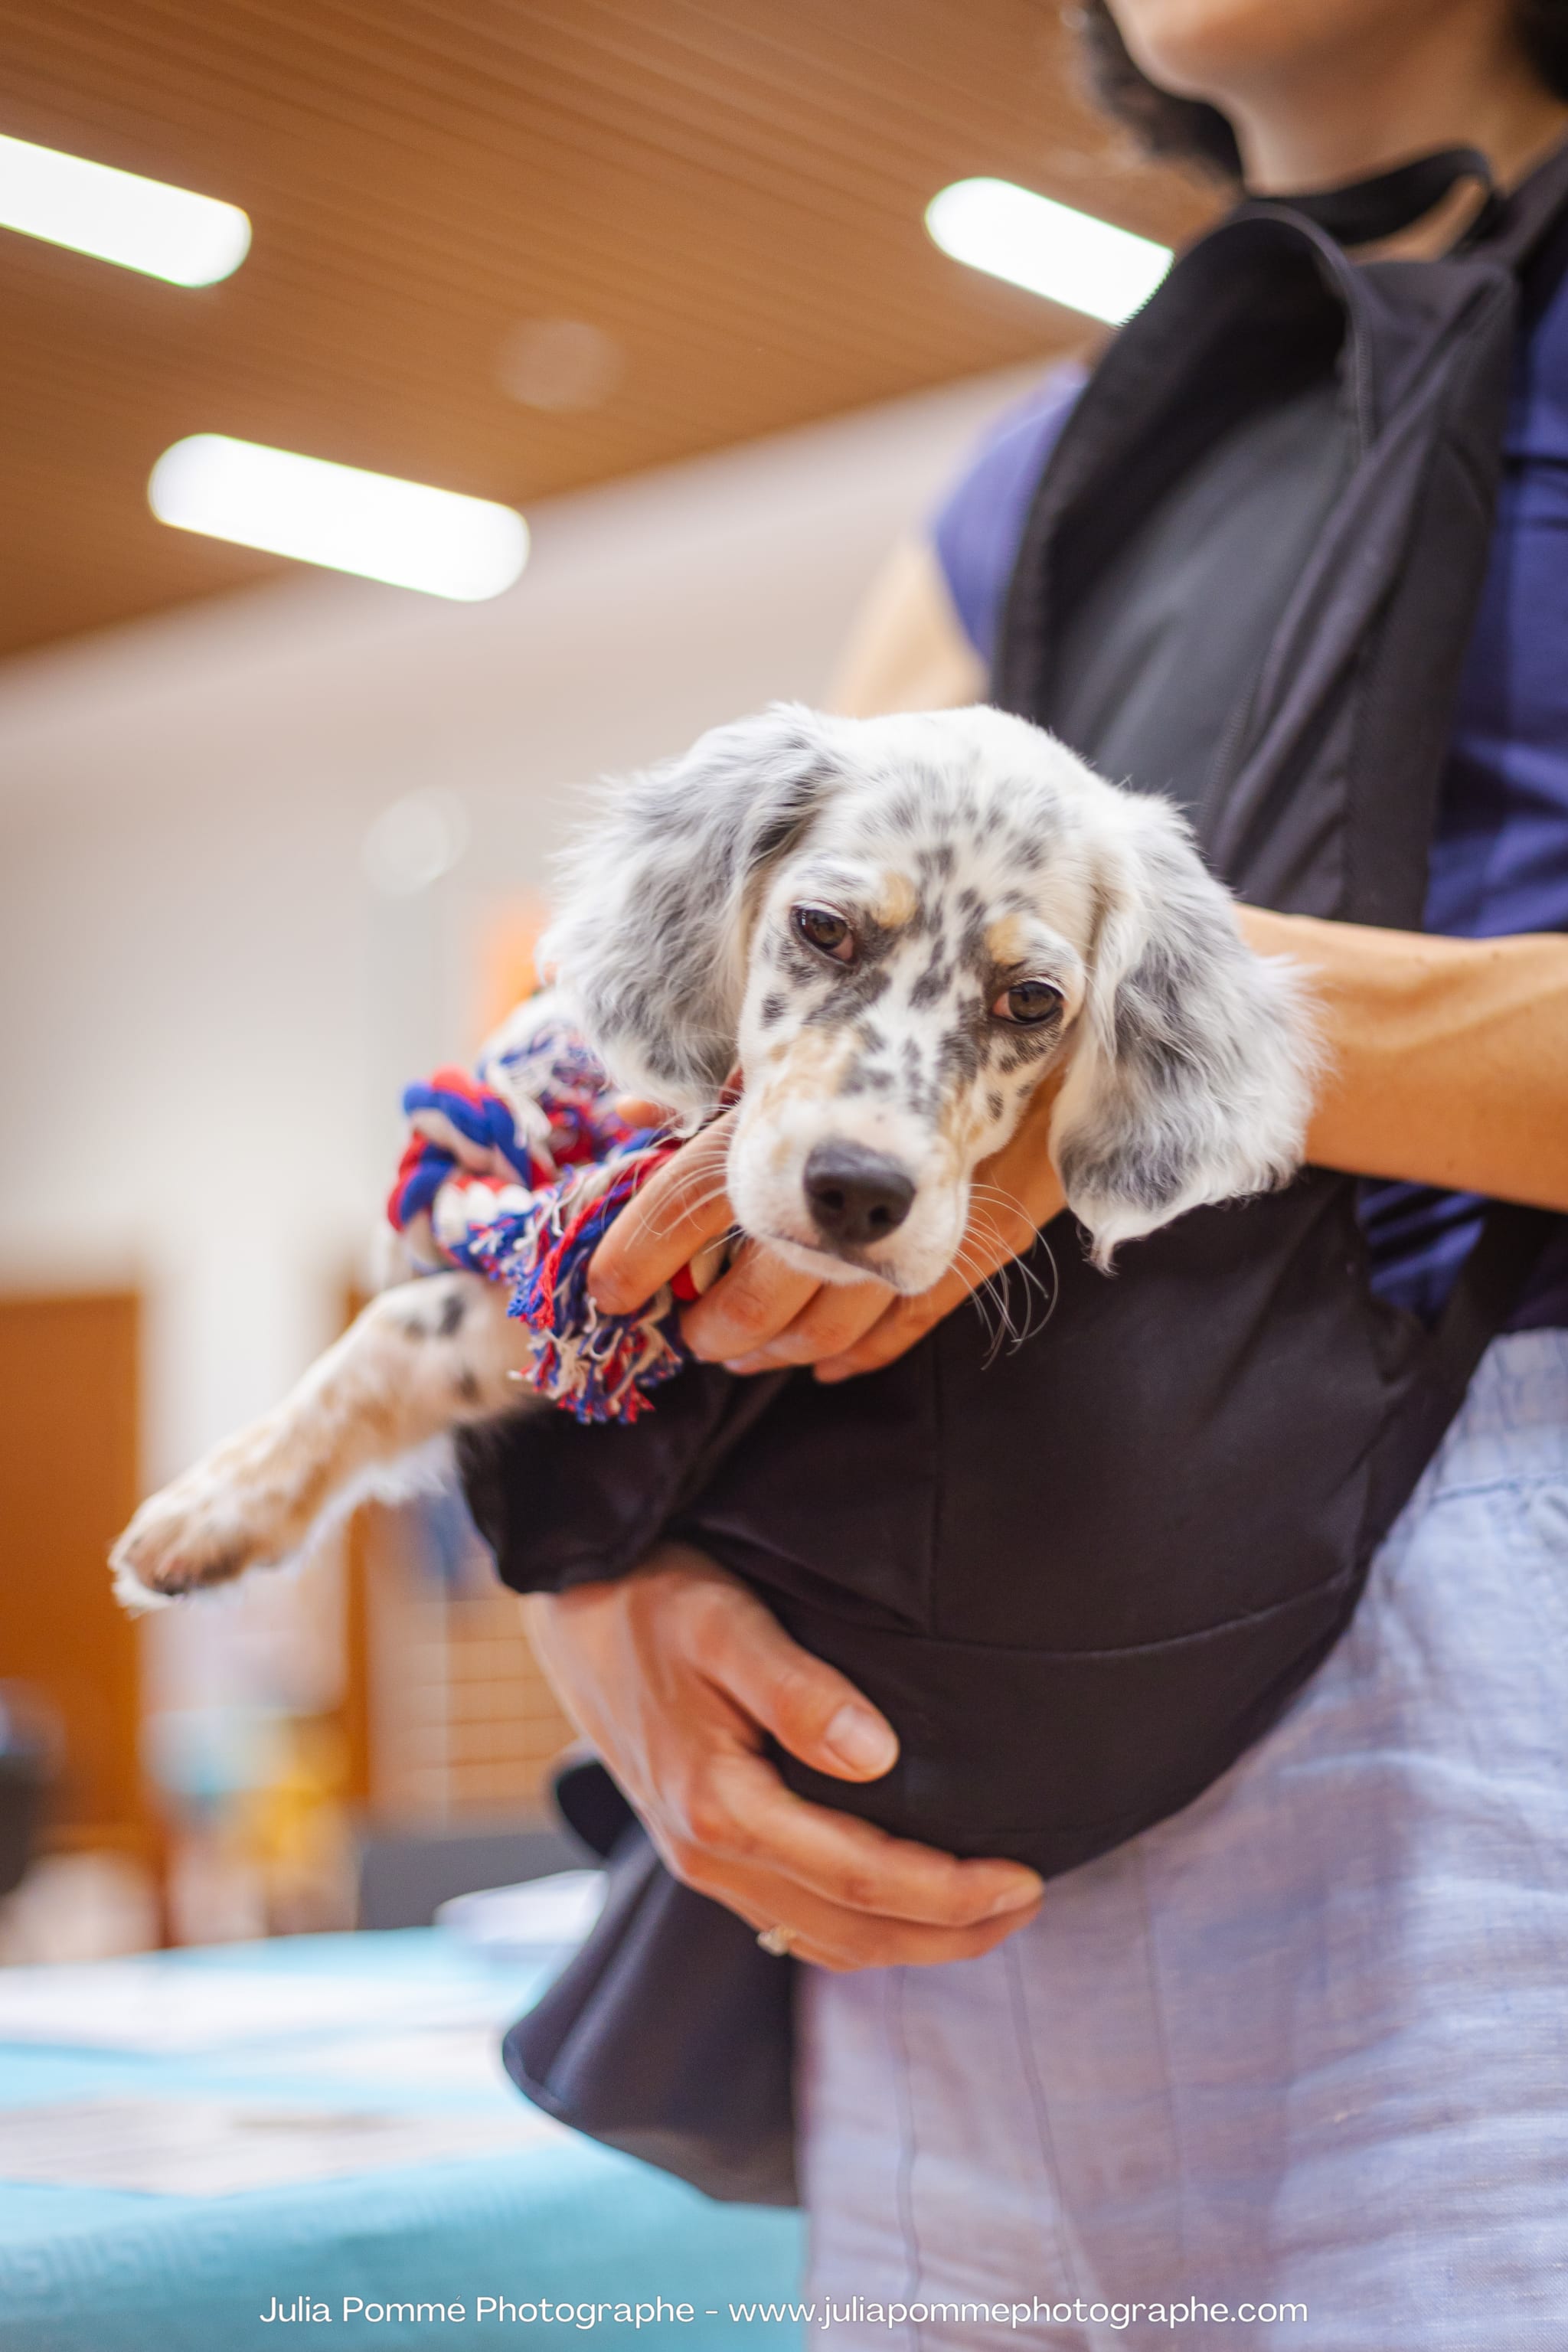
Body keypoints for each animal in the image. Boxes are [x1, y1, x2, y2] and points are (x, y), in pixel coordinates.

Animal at [107, 701, 1316, 1618]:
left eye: (1032, 1001)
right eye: (822, 927)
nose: (858, 1194)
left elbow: (405, 1334)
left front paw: (219, 1503)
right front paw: (222, 1500)